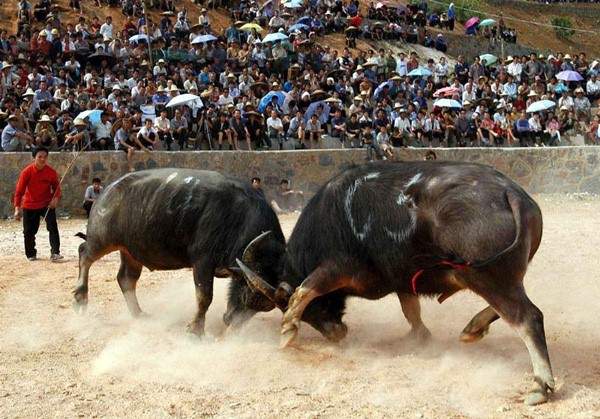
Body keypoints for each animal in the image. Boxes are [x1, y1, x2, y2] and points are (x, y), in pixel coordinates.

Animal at [74, 169, 284, 336]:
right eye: (246, 294)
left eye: (260, 308)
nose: (230, 320)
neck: (238, 218)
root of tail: (106, 193)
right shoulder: (202, 261)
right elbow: (205, 297)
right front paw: (195, 331)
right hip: (102, 239)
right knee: (84, 253)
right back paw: (80, 298)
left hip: (131, 251)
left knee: (126, 278)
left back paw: (138, 314)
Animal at [237, 162, 556, 406]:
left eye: (313, 312)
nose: (336, 333)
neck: (332, 218)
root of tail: (510, 193)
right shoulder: (402, 279)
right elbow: (411, 311)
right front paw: (419, 337)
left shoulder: (335, 268)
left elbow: (304, 290)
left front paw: (287, 333)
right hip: (495, 278)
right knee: (513, 309)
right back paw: (473, 328)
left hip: (488, 278)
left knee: (528, 317)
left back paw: (540, 385)